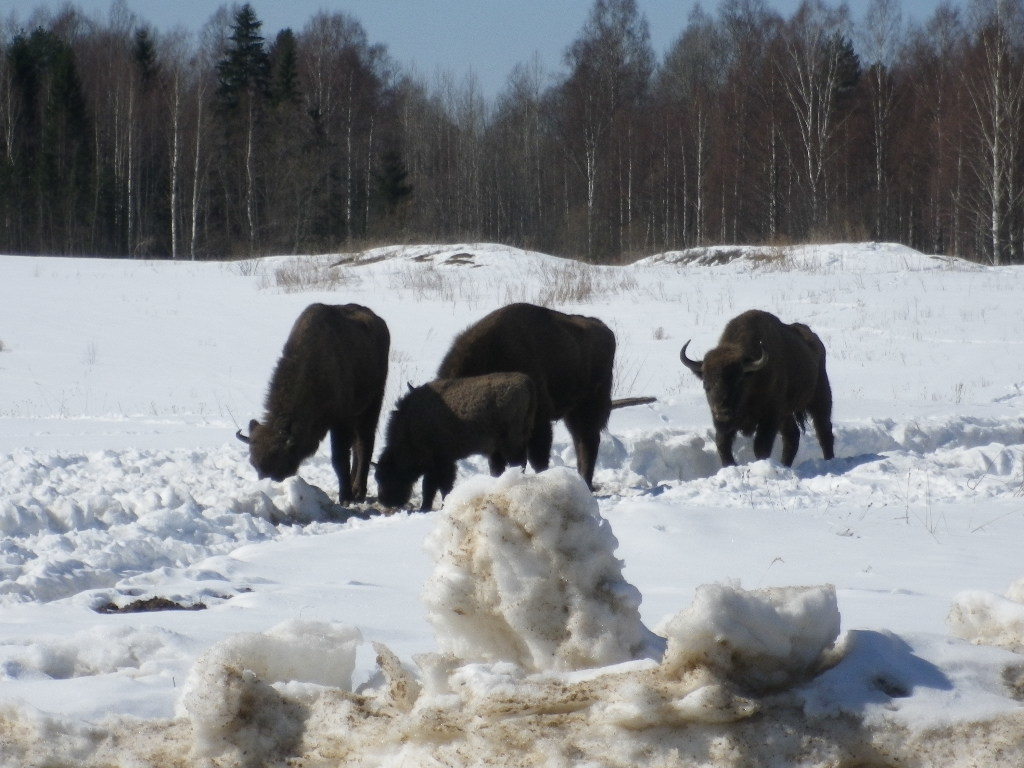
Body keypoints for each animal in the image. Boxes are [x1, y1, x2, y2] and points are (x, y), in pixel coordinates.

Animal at [235, 303, 387, 507]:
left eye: (280, 462)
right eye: (253, 463)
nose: (268, 485)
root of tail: (378, 321)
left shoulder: (341, 422)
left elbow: (339, 459)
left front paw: (345, 498)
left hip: (372, 404)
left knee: (365, 443)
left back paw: (358, 492)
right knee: (358, 446)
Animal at [374, 372, 536, 512]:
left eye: (389, 475)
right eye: (377, 477)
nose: (385, 501)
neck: (411, 426)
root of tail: (526, 382)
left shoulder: (442, 462)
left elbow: (439, 486)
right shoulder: (436, 465)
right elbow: (431, 487)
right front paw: (425, 508)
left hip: (511, 444)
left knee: (518, 462)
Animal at [434, 303, 610, 489]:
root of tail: (605, 329)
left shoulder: (538, 422)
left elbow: (535, 459)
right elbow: (497, 464)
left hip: (587, 408)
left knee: (587, 442)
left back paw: (586, 482)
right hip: (573, 412)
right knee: (580, 441)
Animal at [679, 309, 831, 468]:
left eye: (738, 381)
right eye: (705, 383)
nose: (721, 411)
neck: (752, 375)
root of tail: (816, 341)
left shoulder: (769, 417)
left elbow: (761, 447)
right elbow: (722, 444)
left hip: (820, 399)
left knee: (824, 432)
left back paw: (829, 460)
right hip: (786, 414)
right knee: (792, 436)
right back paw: (785, 464)